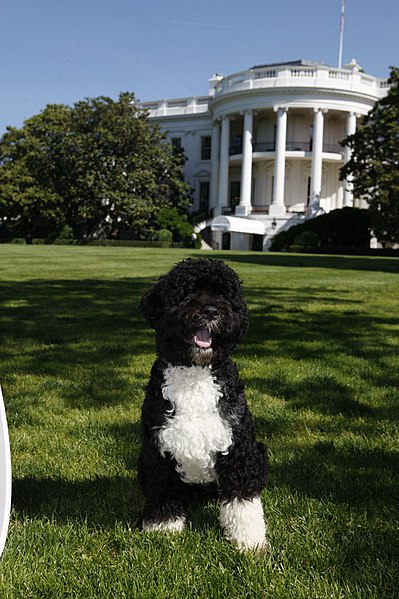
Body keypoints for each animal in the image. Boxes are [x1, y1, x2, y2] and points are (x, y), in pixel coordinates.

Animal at [138, 258, 268, 552]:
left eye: (224, 295)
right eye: (186, 292)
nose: (209, 311)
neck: (194, 373)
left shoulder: (239, 449)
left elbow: (243, 501)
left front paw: (250, 541)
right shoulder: (157, 450)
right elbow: (163, 492)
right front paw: (163, 528)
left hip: (260, 452)